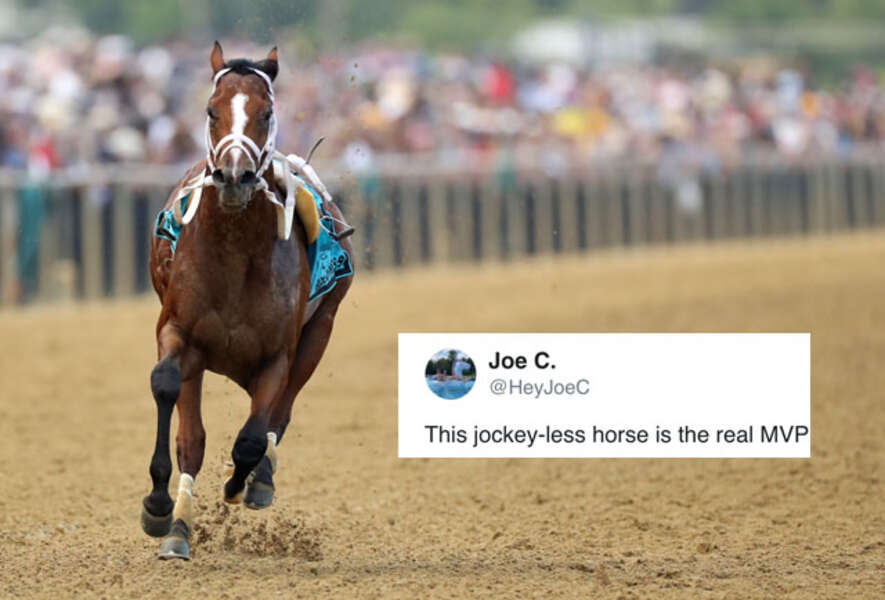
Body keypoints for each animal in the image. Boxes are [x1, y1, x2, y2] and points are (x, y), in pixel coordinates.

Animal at [140, 42, 354, 560]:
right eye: (211, 110)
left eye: (267, 112)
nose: (233, 176)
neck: (235, 253)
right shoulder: (177, 331)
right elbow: (168, 392)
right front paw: (162, 511)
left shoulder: (280, 352)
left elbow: (254, 437)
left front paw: (243, 484)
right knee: (192, 434)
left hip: (321, 330)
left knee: (282, 413)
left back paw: (260, 480)